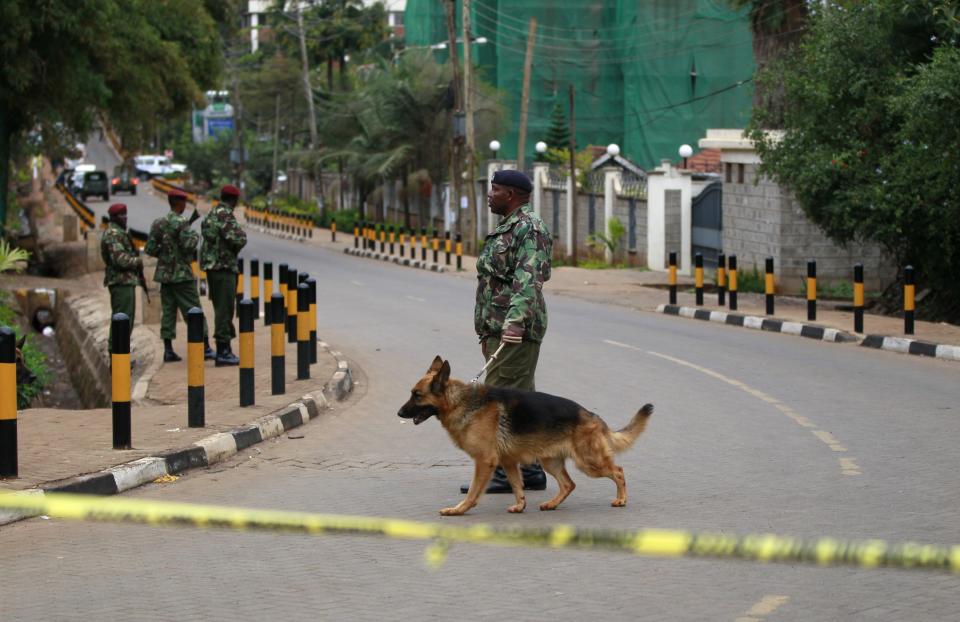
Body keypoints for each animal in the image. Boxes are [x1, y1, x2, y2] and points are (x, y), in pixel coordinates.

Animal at [396, 358, 652, 520]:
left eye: (417, 395)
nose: (398, 413)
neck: (461, 401)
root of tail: (592, 416)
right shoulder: (508, 461)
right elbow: (517, 486)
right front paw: (520, 505)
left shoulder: (485, 461)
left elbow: (473, 492)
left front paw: (458, 510)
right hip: (551, 461)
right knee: (569, 484)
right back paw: (552, 504)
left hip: (589, 461)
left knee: (618, 471)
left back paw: (621, 500)